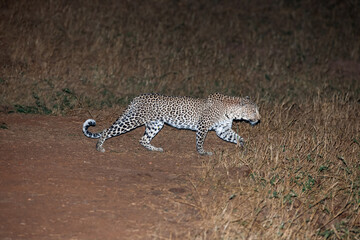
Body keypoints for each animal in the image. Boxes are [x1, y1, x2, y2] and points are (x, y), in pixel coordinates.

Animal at [83, 93, 260, 155]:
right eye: (254, 111)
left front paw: (243, 146)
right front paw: (202, 152)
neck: (231, 110)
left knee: (143, 139)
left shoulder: (222, 130)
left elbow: (237, 137)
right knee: (107, 130)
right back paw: (99, 147)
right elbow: (200, 141)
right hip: (134, 119)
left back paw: (155, 149)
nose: (258, 119)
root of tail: (138, 97)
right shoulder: (203, 126)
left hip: (155, 124)